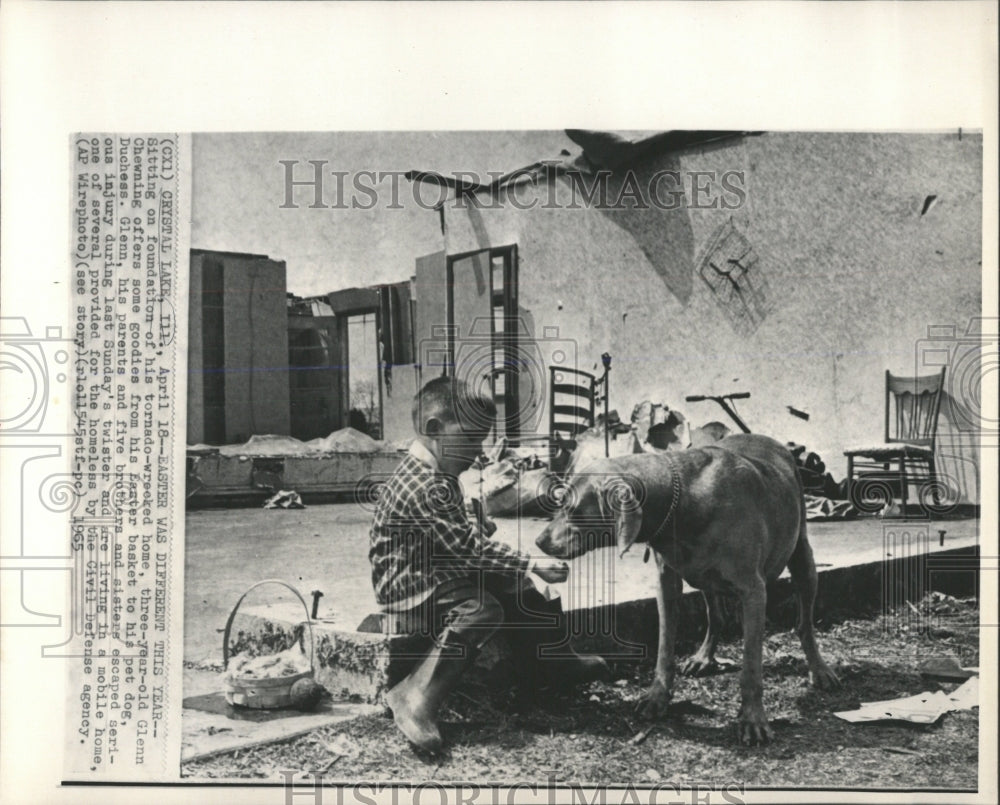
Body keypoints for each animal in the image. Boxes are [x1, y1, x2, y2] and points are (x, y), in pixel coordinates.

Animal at [536, 434, 840, 740]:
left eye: (574, 509)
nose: (539, 541)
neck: (681, 500)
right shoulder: (666, 582)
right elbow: (664, 647)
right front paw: (657, 698)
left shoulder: (754, 591)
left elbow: (751, 666)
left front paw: (753, 719)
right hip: (704, 576)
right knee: (716, 617)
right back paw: (703, 657)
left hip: (802, 558)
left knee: (804, 623)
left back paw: (820, 670)